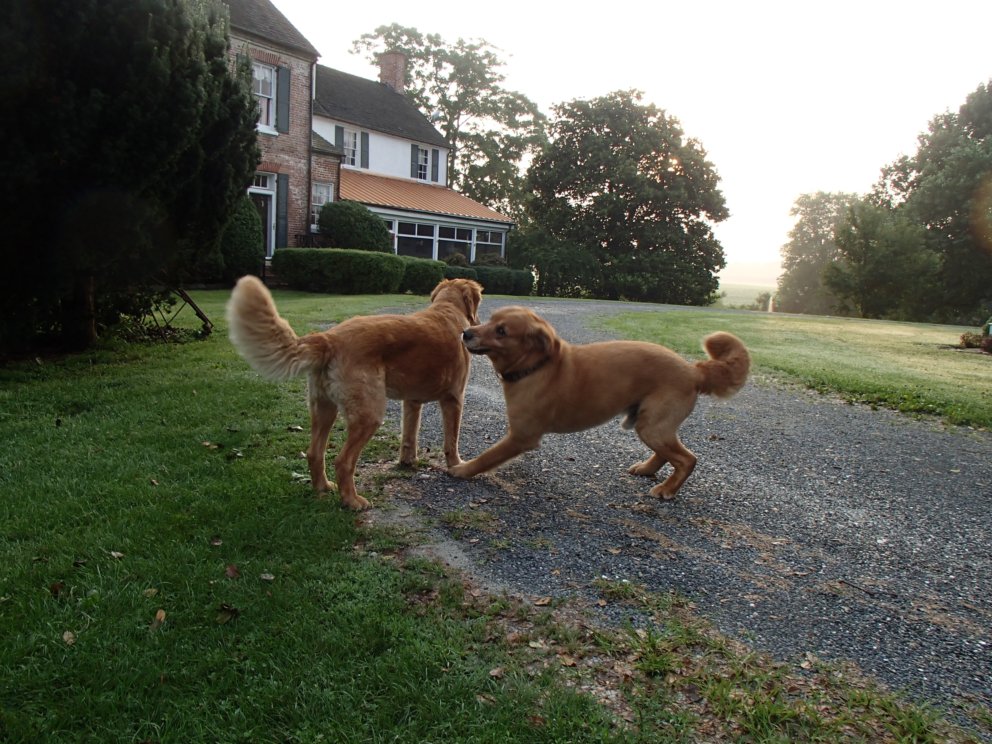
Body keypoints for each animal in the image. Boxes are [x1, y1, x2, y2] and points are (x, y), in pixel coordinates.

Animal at [229, 276, 484, 508]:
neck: (447, 308)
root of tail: (330, 337)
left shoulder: (411, 402)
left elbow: (409, 437)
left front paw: (408, 462)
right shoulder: (454, 399)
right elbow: (451, 440)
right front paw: (456, 465)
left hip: (324, 409)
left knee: (314, 453)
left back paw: (323, 488)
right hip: (369, 415)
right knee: (343, 462)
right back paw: (352, 501)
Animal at [446, 302, 748, 500]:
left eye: (502, 331)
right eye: (489, 320)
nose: (466, 333)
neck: (536, 366)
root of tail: (693, 370)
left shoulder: (521, 436)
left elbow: (487, 457)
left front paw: (461, 470)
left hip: (652, 426)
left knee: (687, 459)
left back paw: (667, 490)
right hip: (650, 424)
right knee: (668, 454)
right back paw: (647, 469)